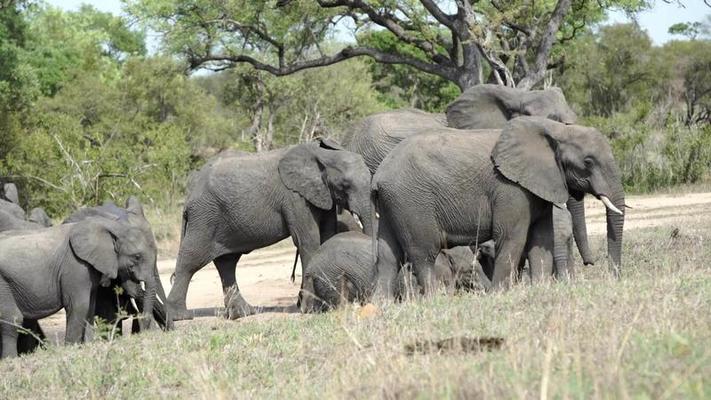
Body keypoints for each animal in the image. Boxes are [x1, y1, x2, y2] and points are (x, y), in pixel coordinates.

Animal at [0, 216, 159, 360]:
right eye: (137, 257)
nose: (144, 331)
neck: (112, 226)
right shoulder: (76, 266)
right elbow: (79, 306)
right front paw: (71, 350)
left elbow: (90, 308)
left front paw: (89, 346)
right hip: (3, 283)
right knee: (13, 319)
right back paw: (10, 360)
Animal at [170, 139, 376, 320]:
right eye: (345, 185)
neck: (322, 155)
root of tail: (190, 193)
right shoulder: (294, 197)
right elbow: (308, 240)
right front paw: (307, 308)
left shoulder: (322, 195)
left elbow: (327, 235)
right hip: (204, 216)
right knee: (191, 259)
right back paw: (180, 316)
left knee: (227, 262)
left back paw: (243, 314)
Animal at [370, 115, 624, 294]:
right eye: (588, 162)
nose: (612, 276)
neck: (556, 129)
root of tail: (379, 176)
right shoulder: (509, 188)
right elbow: (512, 238)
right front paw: (499, 294)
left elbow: (541, 239)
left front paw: (540, 288)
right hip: (412, 202)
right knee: (423, 254)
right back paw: (434, 299)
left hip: (393, 203)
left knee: (388, 256)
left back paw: (381, 305)